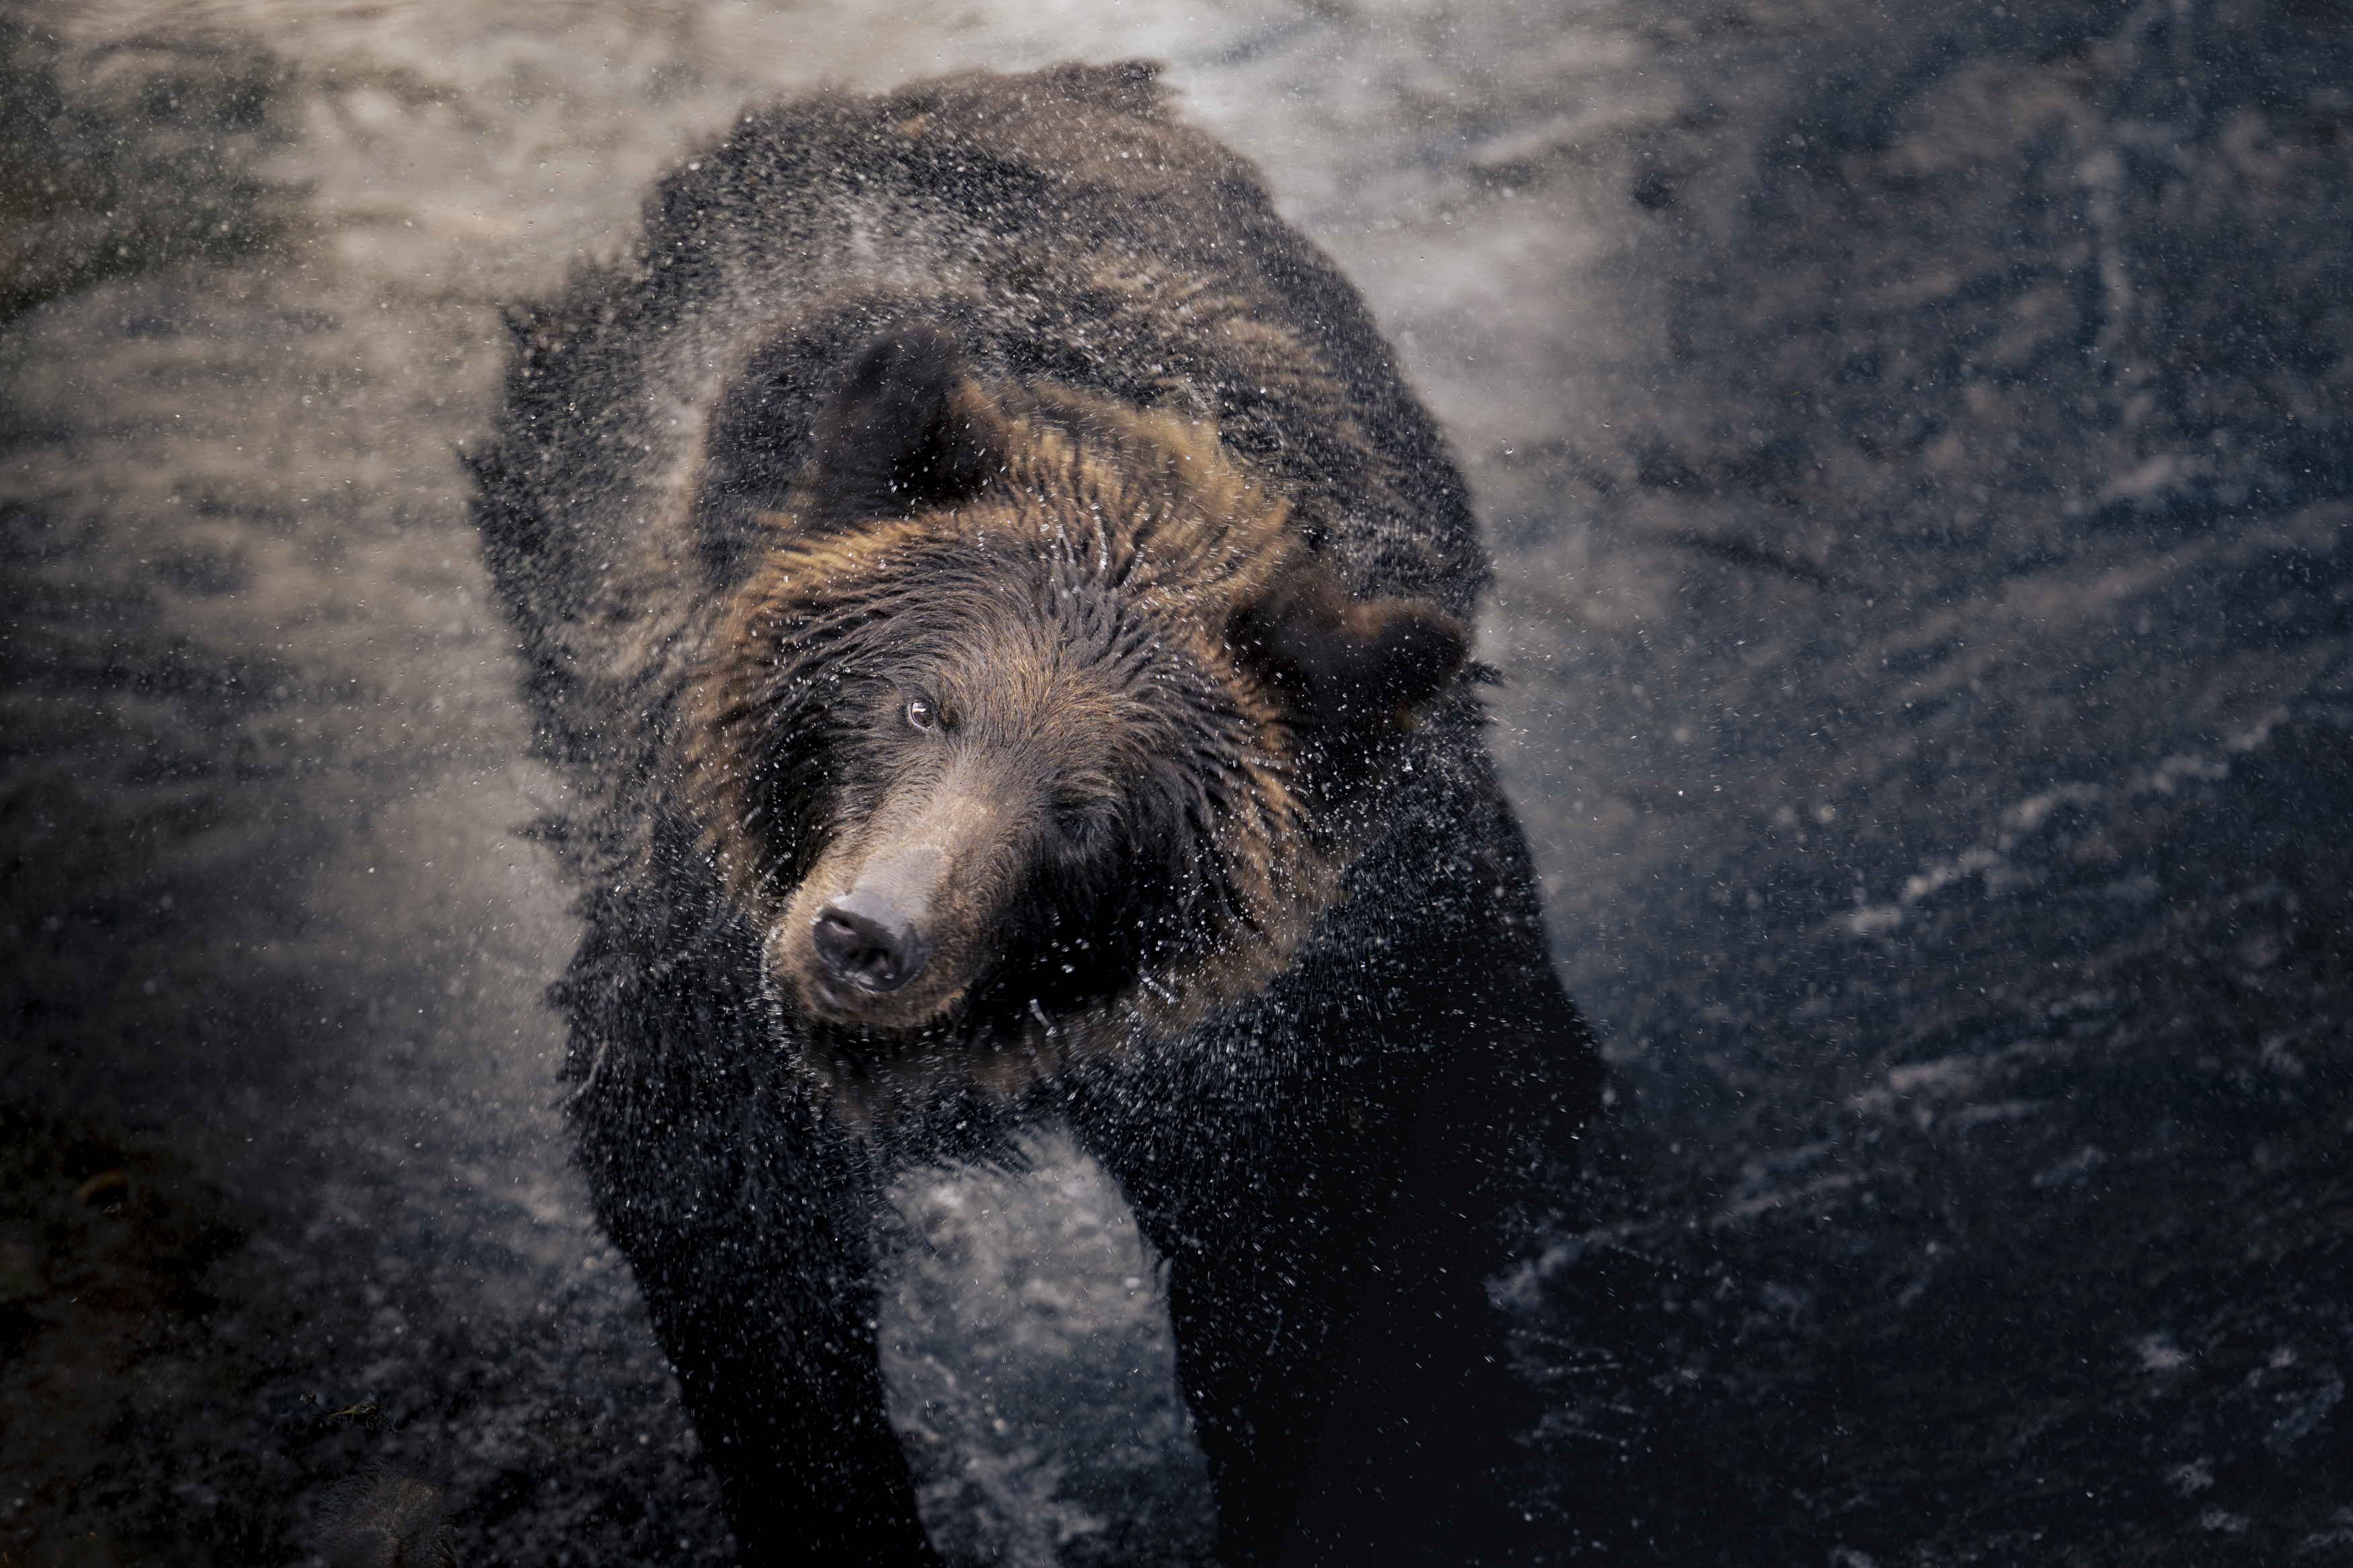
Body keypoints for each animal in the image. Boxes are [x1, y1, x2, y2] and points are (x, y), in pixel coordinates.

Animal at [473, 55, 1600, 1561]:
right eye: (917, 705)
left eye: (1085, 810)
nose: (867, 937)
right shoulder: (709, 962)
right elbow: (743, 1259)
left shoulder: (1271, 1039)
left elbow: (1312, 1305)